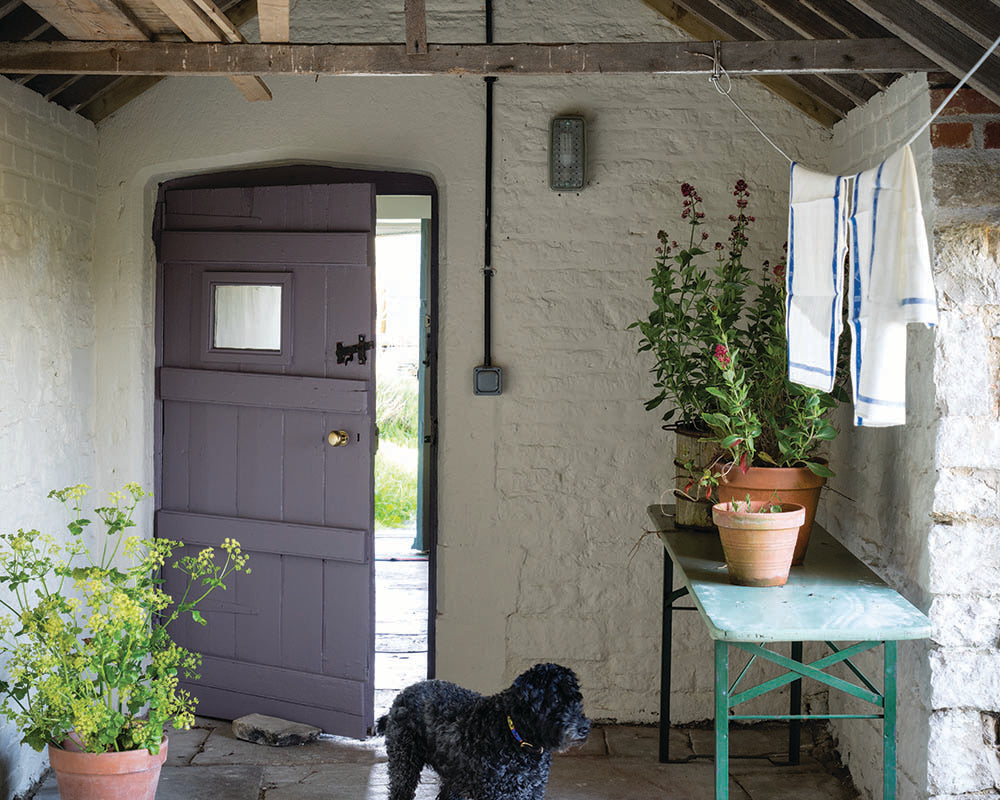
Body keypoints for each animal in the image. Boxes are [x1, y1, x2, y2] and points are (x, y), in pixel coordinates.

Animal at [378, 664, 588, 800]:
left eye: (577, 698)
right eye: (556, 700)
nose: (584, 728)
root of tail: (402, 695)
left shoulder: (532, 790)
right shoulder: (497, 793)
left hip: (453, 780)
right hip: (404, 765)